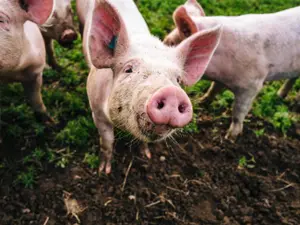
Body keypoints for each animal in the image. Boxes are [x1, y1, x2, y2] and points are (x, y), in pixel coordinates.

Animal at [76, 0, 223, 173]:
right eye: (129, 69)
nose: (172, 92)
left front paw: (147, 156)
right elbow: (107, 140)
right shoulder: (97, 112)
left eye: (178, 79)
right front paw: (104, 171)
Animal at [164, 0, 300, 139]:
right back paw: (279, 95)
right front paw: (202, 101)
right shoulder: (220, 80)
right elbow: (213, 89)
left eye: (170, 43)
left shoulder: (252, 85)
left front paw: (230, 137)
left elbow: (239, 111)